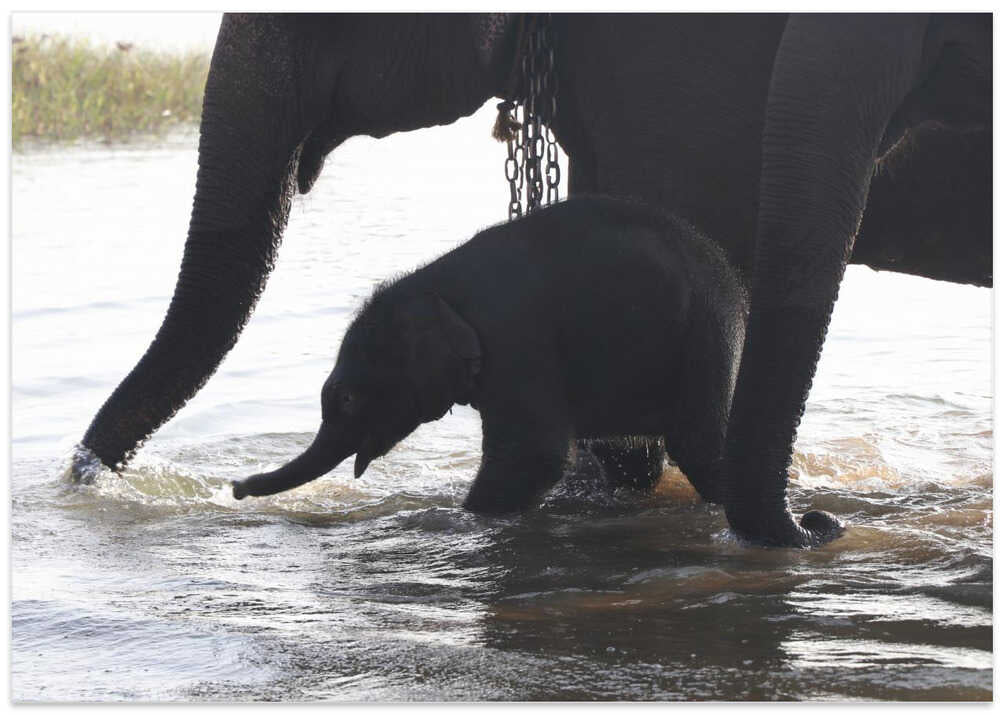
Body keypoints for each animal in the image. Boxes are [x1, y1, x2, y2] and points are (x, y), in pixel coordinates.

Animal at [232, 197, 755, 518]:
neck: (435, 281)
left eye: (346, 399)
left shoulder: (517, 340)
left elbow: (533, 455)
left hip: (708, 338)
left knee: (700, 447)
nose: (236, 487)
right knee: (634, 458)